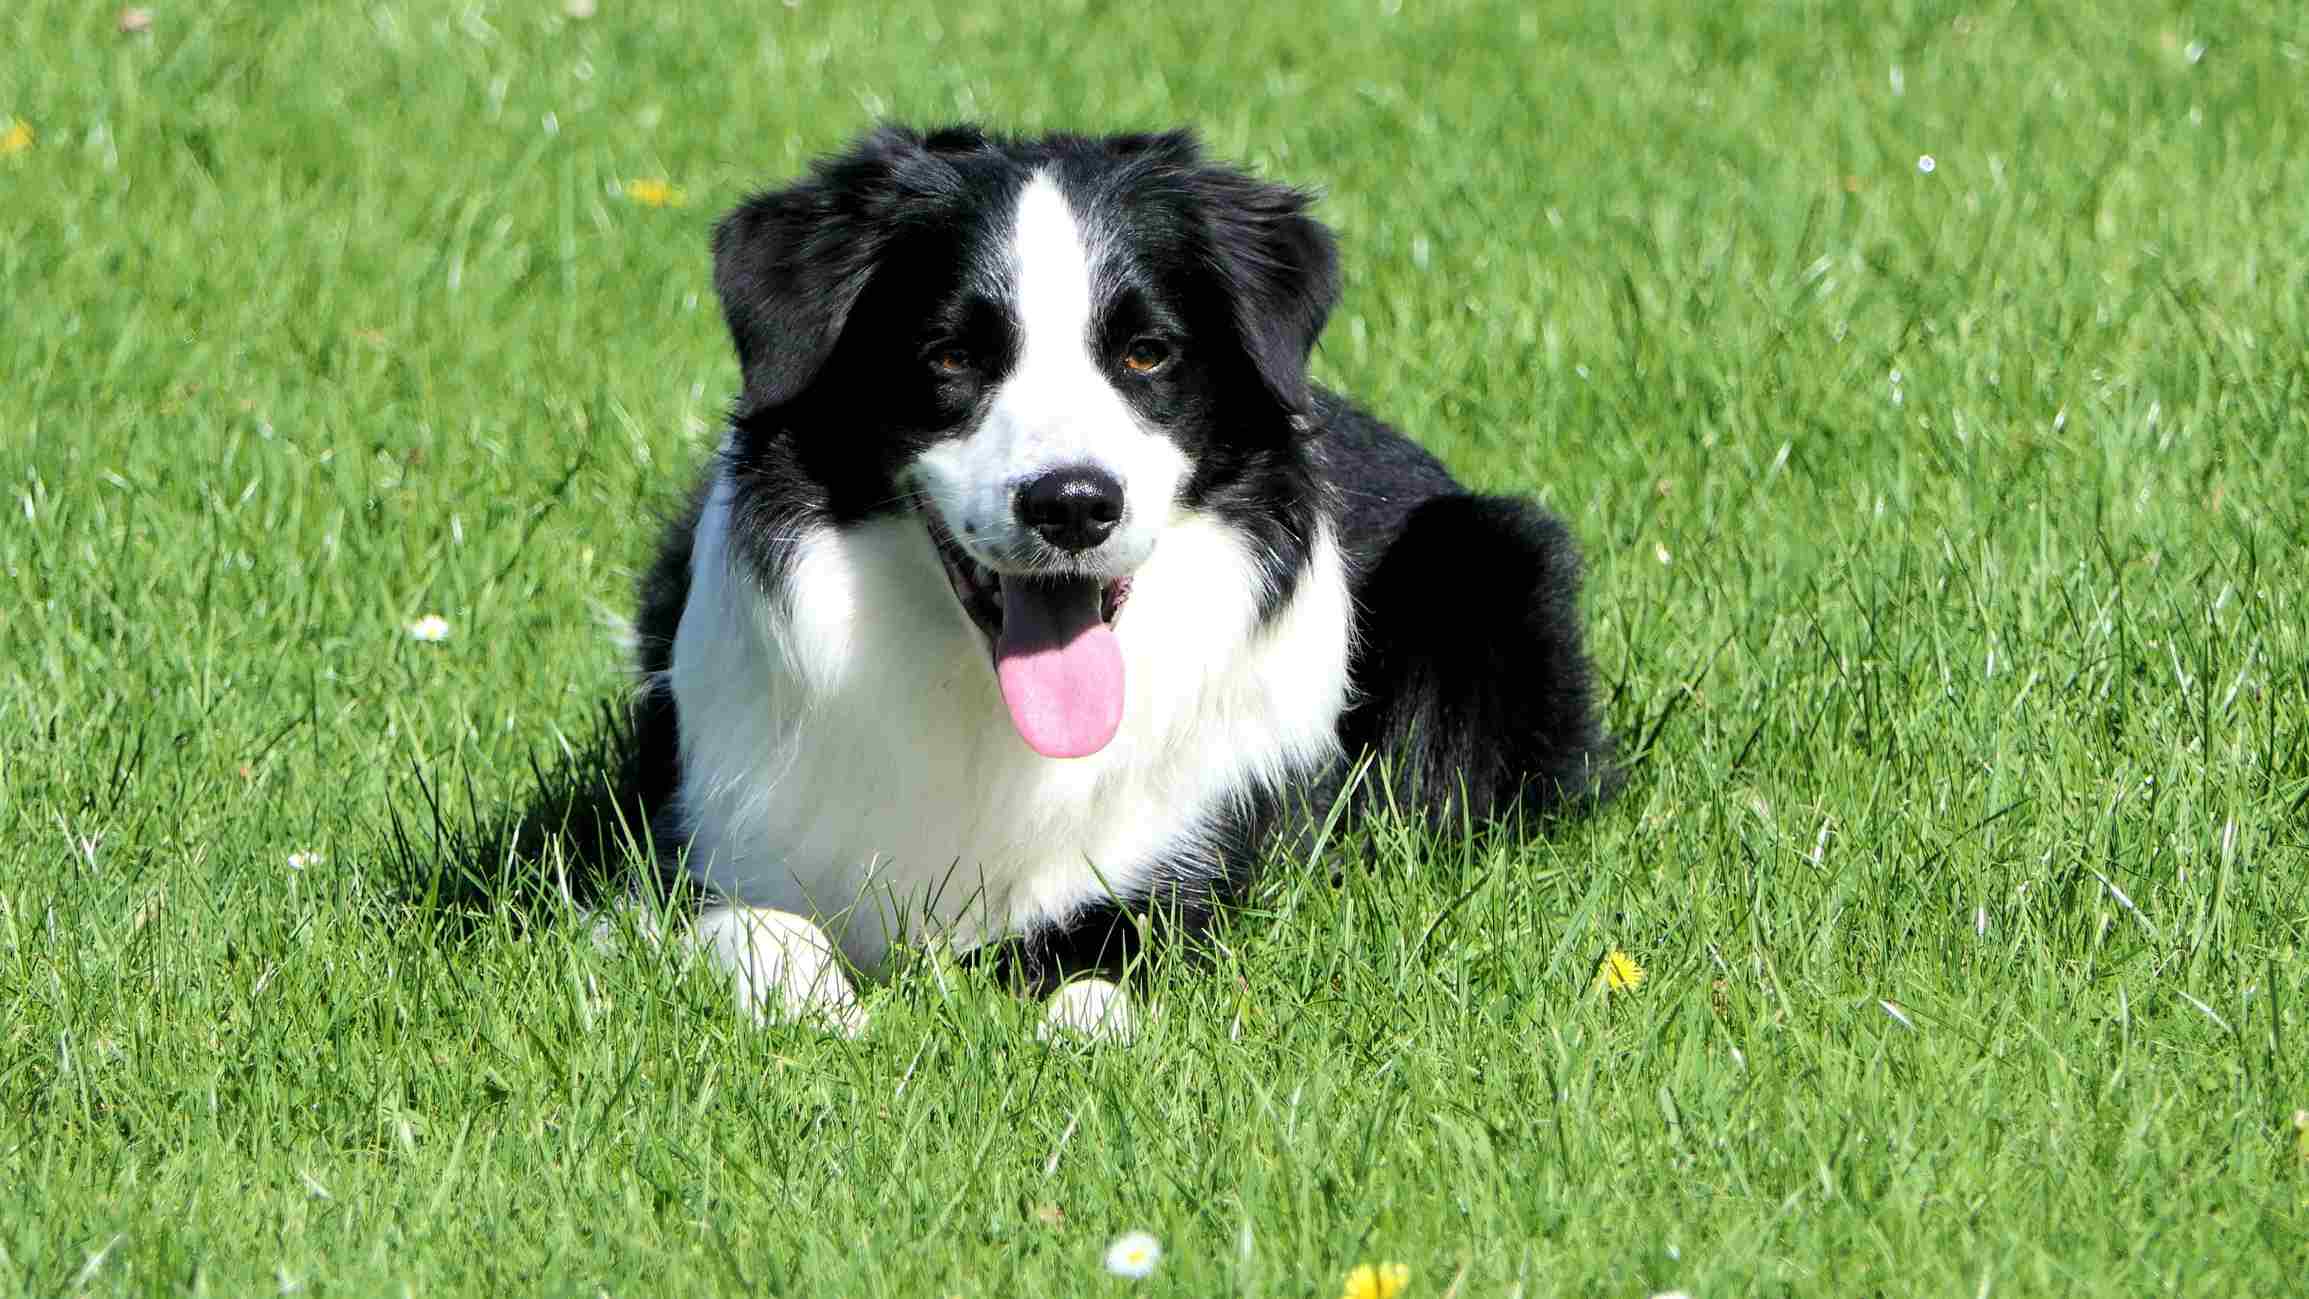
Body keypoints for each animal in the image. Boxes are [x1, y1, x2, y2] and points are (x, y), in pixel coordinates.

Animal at [628, 124, 1607, 1038]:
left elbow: (1103, 953)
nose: (1071, 505)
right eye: (949, 356)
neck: (983, 716)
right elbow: (754, 926)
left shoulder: (1185, 862)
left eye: (1145, 353)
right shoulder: (687, 845)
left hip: (1487, 556)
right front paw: (822, 1006)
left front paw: (1076, 1024)